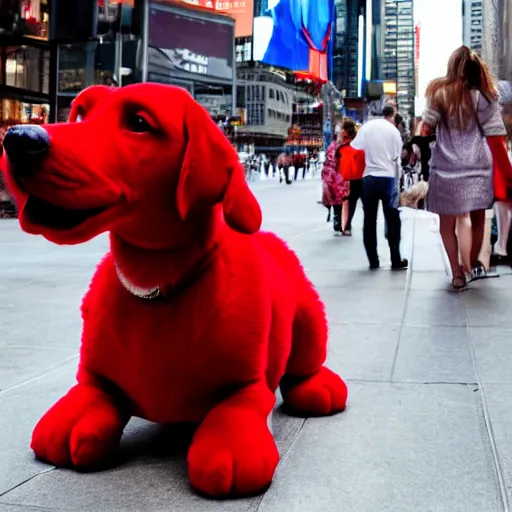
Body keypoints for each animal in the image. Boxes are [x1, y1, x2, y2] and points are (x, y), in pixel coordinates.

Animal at [1, 83, 348, 496]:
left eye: (138, 123)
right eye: (82, 112)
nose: (19, 138)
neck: (156, 286)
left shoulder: (248, 386)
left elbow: (235, 408)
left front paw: (229, 445)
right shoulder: (96, 378)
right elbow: (89, 394)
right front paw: (73, 420)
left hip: (309, 320)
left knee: (304, 367)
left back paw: (319, 387)